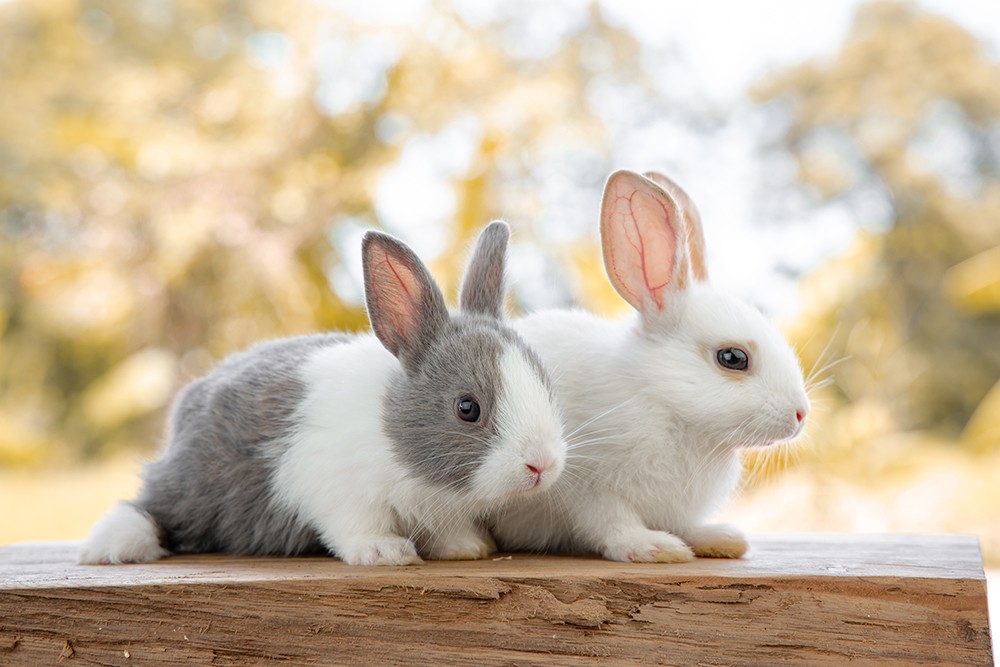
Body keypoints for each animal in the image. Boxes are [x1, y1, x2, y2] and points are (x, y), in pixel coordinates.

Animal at [79, 222, 568, 568]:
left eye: (545, 383)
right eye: (468, 408)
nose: (542, 465)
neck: (392, 433)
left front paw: (467, 547)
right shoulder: (336, 489)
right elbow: (355, 526)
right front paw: (386, 553)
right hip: (189, 487)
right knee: (149, 508)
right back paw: (111, 547)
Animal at [492, 168, 812, 564]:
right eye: (733, 358)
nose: (801, 414)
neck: (662, 401)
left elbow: (686, 526)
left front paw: (721, 539)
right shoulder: (585, 485)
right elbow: (611, 521)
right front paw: (654, 548)